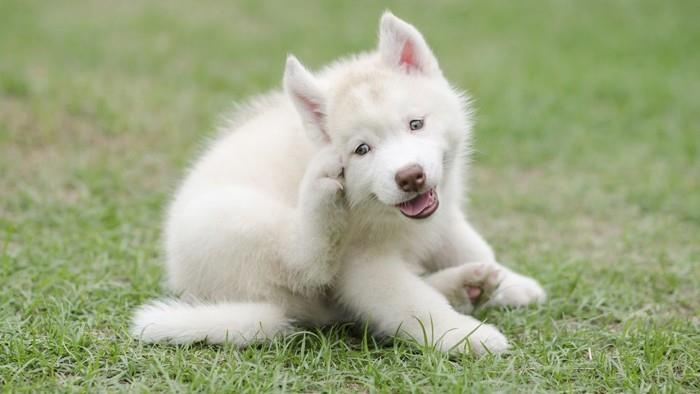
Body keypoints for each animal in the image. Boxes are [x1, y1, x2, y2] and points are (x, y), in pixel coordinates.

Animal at [133, 11, 548, 358]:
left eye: (415, 124)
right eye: (362, 150)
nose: (409, 176)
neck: (385, 215)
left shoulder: (442, 214)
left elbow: (471, 245)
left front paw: (511, 282)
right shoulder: (363, 264)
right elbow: (412, 304)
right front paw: (465, 335)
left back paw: (466, 286)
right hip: (232, 220)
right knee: (305, 262)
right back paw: (320, 196)